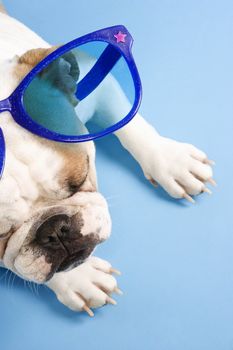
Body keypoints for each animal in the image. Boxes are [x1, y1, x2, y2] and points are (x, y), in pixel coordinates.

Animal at [0, 2, 215, 316]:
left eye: (81, 177)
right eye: (1, 233)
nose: (55, 229)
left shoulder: (100, 87)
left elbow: (131, 122)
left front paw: (170, 160)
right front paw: (81, 277)